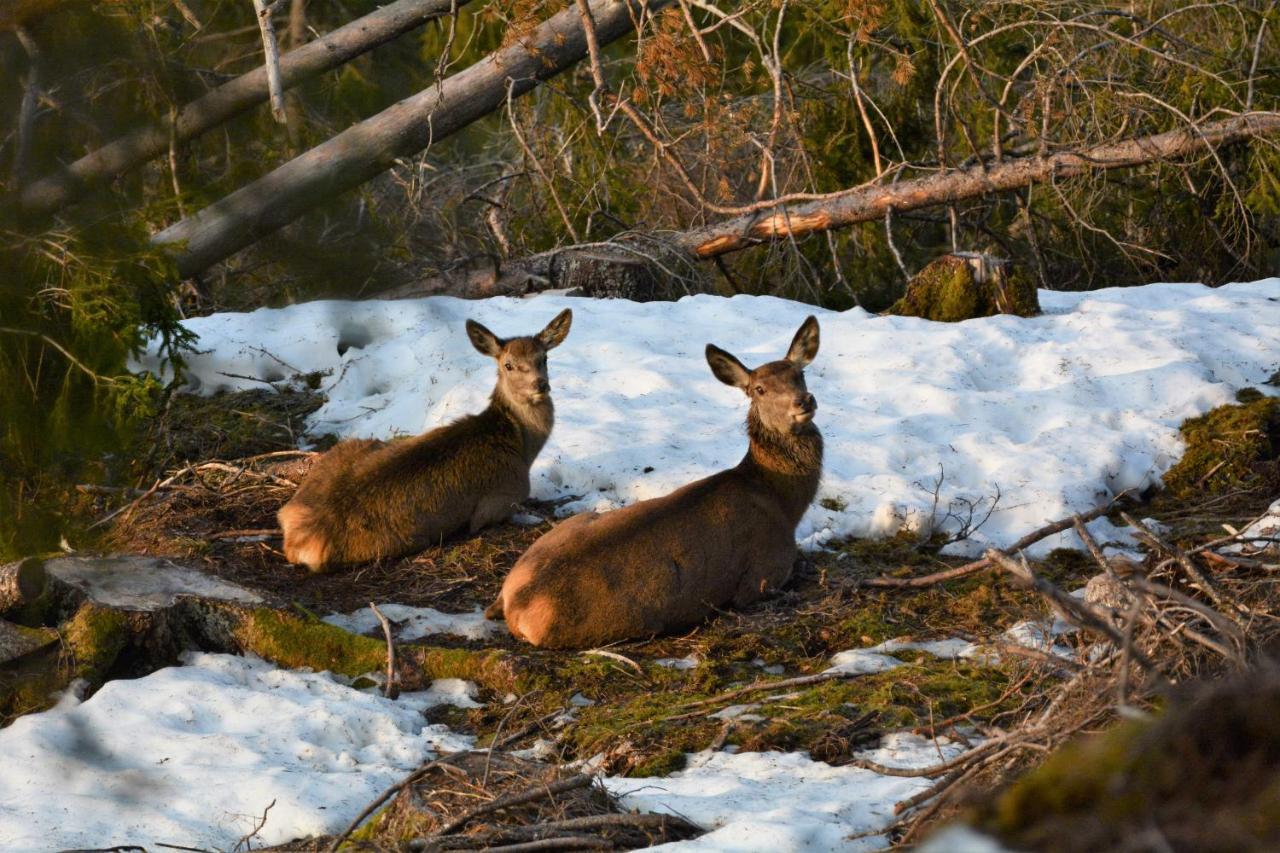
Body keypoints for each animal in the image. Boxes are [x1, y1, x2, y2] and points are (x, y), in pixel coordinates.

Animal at [277, 307, 573, 571]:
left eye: (544, 358)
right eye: (508, 365)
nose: (540, 384)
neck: (520, 447)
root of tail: (297, 538)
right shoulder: (501, 499)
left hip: (351, 446)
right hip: (407, 540)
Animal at [483, 315, 824, 648]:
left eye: (800, 374)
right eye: (759, 389)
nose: (804, 401)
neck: (780, 501)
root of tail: (515, 604)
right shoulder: (765, 573)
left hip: (577, 520)